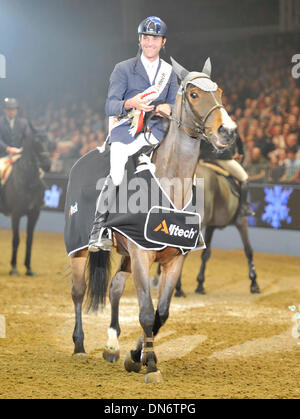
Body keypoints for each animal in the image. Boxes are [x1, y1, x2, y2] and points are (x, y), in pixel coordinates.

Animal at [0, 130, 51, 278]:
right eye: (36, 142)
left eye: (49, 141)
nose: (47, 164)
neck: (28, 179)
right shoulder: (16, 214)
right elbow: (16, 239)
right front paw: (14, 268)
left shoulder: (34, 214)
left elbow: (29, 240)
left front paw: (28, 268)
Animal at [68, 57, 237, 386]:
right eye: (194, 94)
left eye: (220, 91)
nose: (228, 131)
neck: (171, 183)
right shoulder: (142, 256)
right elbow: (147, 312)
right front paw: (151, 365)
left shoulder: (173, 259)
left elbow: (162, 313)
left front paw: (136, 356)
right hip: (80, 248)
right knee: (79, 292)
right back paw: (80, 347)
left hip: (125, 256)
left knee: (114, 289)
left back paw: (111, 347)